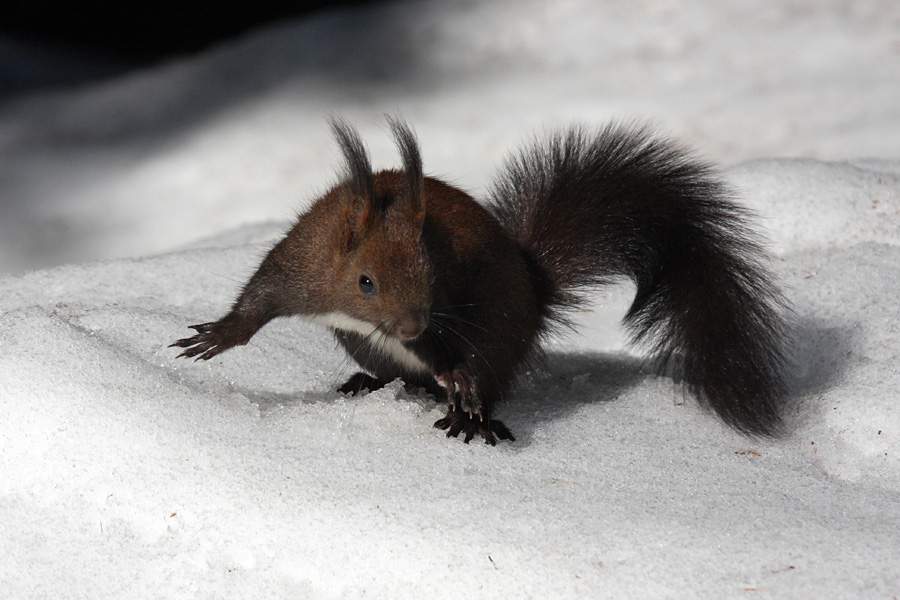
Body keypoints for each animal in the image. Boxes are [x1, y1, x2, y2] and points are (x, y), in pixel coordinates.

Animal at [172, 117, 792, 446]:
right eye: (365, 281)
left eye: (432, 273)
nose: (410, 324)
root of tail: (535, 293)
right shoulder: (300, 266)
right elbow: (257, 301)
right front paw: (215, 338)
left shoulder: (442, 313)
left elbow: (448, 352)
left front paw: (459, 379)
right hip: (371, 349)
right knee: (403, 379)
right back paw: (369, 384)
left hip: (497, 335)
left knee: (482, 378)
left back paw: (470, 417)